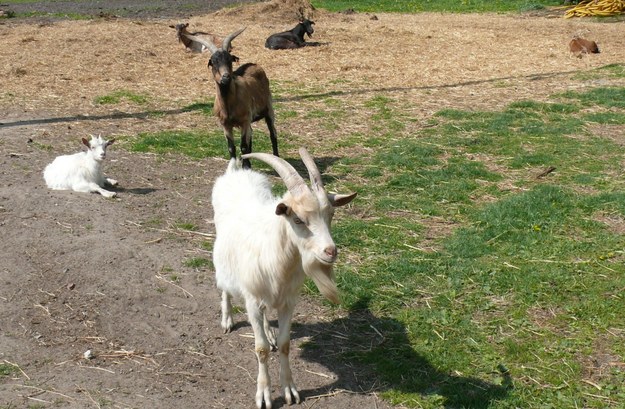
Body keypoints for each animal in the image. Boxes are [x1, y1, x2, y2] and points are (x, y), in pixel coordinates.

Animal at [180, 28, 278, 168]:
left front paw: (246, 166)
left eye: (229, 60)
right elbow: (231, 147)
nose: (225, 77)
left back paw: (276, 157)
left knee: (272, 133)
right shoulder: (225, 124)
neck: (229, 104)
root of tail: (254, 64)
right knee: (252, 134)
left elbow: (243, 146)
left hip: (268, 108)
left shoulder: (244, 120)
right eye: (213, 62)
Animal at [211, 148, 354, 406]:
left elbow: (285, 344)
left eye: (331, 215)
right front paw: (264, 395)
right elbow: (261, 349)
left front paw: (290, 390)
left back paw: (268, 330)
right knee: (225, 284)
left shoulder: (288, 301)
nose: (330, 251)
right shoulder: (252, 300)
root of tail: (236, 171)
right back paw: (227, 319)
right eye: (298, 219)